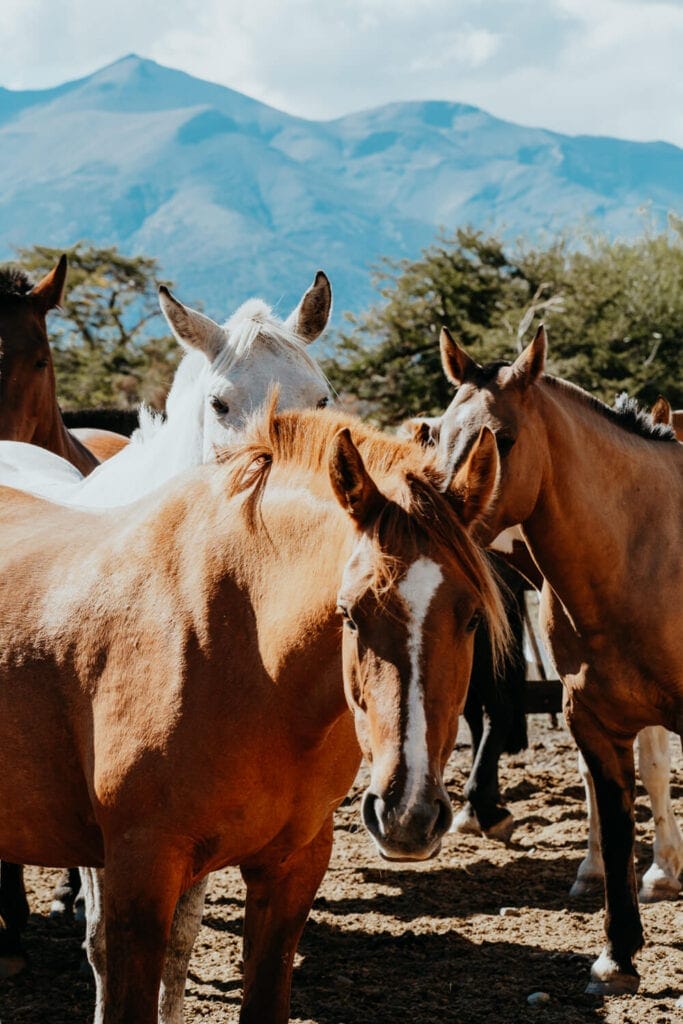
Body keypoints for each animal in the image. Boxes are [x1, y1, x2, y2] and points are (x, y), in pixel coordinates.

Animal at [431, 323, 683, 996]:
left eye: (503, 439)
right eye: (435, 434)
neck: (642, 553)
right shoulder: (593, 722)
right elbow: (617, 825)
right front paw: (618, 955)